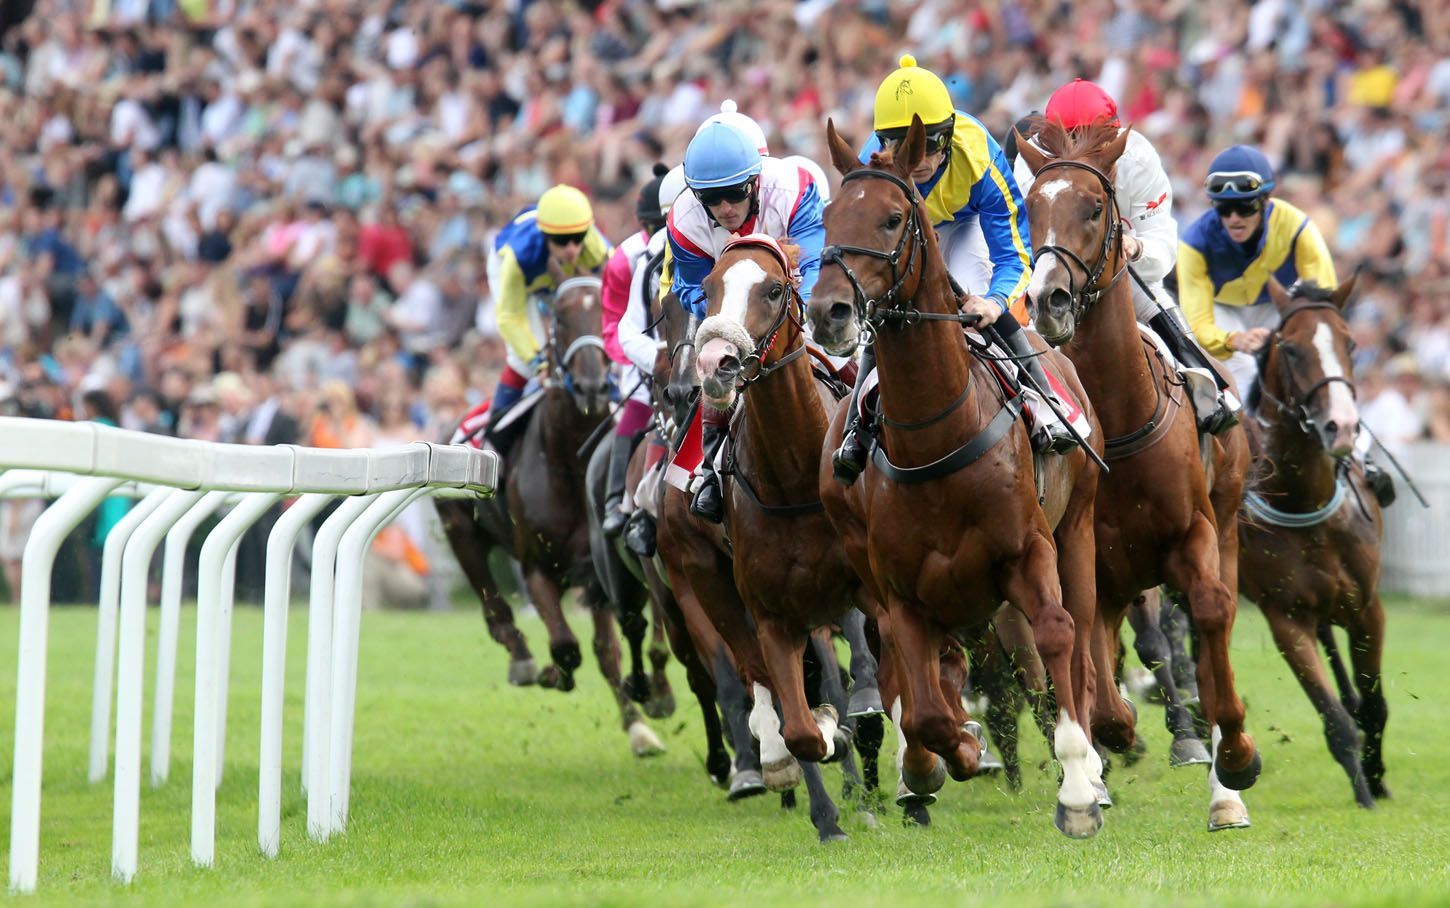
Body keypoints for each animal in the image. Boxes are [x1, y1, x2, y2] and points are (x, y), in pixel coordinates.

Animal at [435, 275, 667, 754]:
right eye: (559, 317)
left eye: (605, 310)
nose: (594, 384)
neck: (571, 463)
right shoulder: (538, 568)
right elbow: (565, 646)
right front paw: (551, 672)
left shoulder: (603, 576)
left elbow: (619, 647)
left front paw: (647, 711)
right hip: (460, 530)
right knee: (494, 607)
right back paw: (523, 659)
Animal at [658, 236, 881, 835]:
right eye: (708, 288)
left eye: (775, 289)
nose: (715, 364)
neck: (792, 477)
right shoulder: (768, 606)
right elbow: (797, 715)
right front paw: (825, 803)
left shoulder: (853, 587)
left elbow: (858, 676)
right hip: (701, 580)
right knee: (755, 678)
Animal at [812, 116, 1102, 835]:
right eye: (828, 216)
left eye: (892, 218)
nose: (828, 310)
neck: (935, 431)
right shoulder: (903, 594)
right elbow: (924, 710)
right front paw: (951, 753)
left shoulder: (1029, 551)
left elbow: (1056, 637)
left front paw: (1078, 787)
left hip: (1078, 532)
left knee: (1081, 643)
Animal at [1015, 120, 1264, 829]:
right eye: (1031, 207)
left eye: (1095, 207)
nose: (1047, 299)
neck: (1119, 419)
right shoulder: (1087, 559)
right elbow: (1099, 693)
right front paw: (1104, 755)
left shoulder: (1193, 535)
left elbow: (1210, 619)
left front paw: (1233, 762)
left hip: (1224, 525)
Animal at [1235, 275, 1392, 806]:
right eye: (1291, 348)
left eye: (1351, 343)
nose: (1340, 427)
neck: (1308, 506)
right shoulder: (1286, 619)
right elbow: (1335, 719)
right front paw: (1363, 793)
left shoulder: (1368, 608)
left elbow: (1374, 704)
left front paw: (1377, 779)